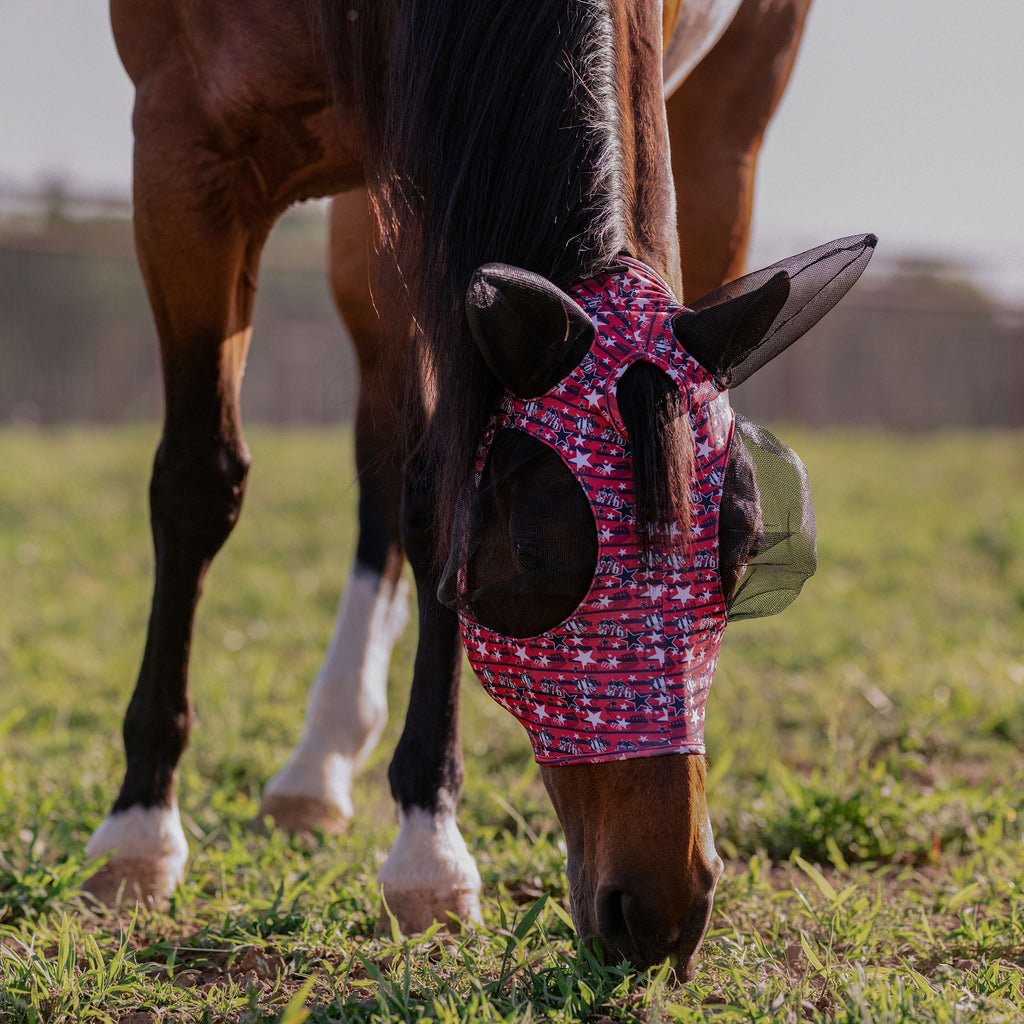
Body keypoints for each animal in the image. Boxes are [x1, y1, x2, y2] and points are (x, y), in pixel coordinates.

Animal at [82, 0, 854, 977]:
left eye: (745, 553)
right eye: (529, 557)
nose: (664, 912)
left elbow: (434, 495)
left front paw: (427, 846)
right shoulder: (183, 143)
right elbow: (197, 481)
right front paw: (139, 829)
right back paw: (317, 763)